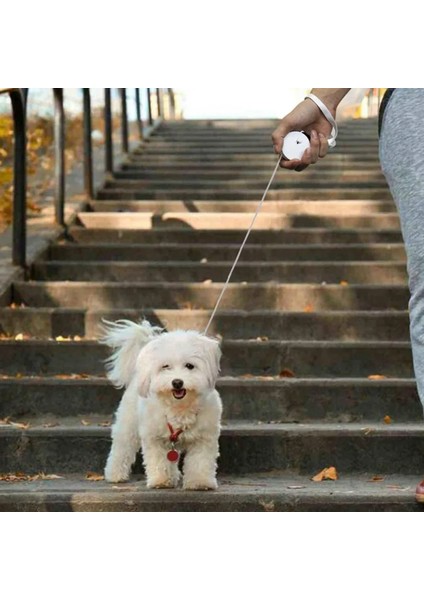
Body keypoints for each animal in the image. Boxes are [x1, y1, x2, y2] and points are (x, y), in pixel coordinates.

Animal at [101, 322, 224, 490]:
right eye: (165, 366)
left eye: (189, 366)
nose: (177, 382)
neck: (179, 407)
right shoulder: (154, 438)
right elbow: (159, 460)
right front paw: (161, 480)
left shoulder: (204, 438)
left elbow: (200, 462)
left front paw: (200, 482)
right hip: (128, 423)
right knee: (122, 447)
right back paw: (115, 474)